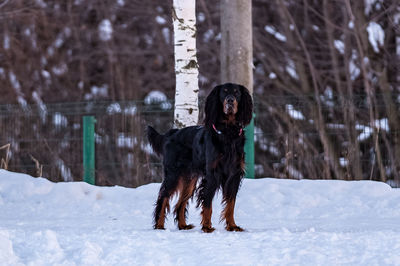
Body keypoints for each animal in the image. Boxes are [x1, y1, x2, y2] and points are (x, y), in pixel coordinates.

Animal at [147, 83, 253, 233]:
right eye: (224, 92)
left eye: (237, 92)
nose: (230, 101)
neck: (228, 132)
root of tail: (172, 134)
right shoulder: (212, 174)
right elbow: (207, 202)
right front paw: (207, 226)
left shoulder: (234, 174)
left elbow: (231, 203)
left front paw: (232, 226)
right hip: (174, 174)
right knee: (163, 197)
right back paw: (159, 225)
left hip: (189, 178)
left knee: (180, 202)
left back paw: (183, 225)